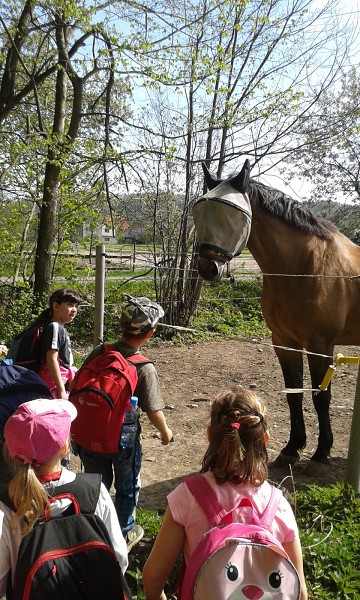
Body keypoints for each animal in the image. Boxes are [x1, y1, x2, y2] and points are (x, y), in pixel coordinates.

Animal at [194, 159, 360, 468]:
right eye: (199, 210)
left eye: (234, 215)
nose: (208, 268)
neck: (304, 266)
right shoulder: (284, 342)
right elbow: (293, 395)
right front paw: (292, 448)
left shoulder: (320, 346)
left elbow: (321, 397)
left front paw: (321, 451)